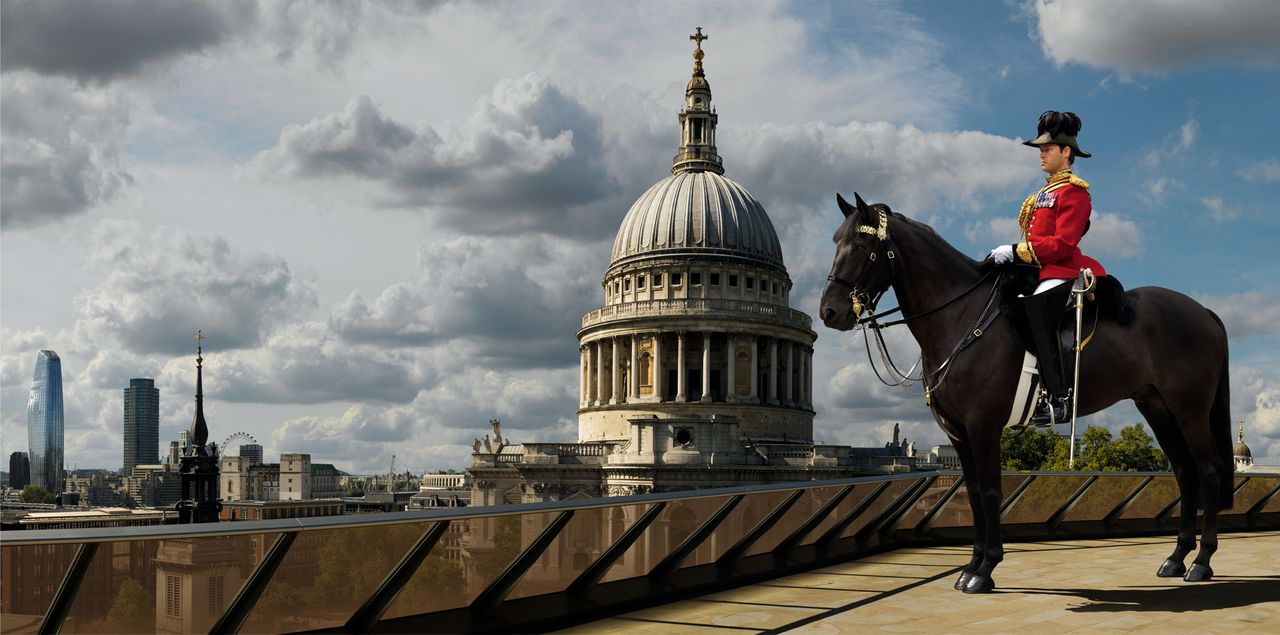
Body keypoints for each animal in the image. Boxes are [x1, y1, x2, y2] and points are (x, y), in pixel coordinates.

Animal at [819, 193, 1228, 594]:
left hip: (1190, 410)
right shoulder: (958, 431)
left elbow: (990, 492)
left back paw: (1202, 560)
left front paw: (985, 570)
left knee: (1207, 471)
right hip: (1157, 408)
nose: (829, 311)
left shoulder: (983, 424)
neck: (960, 316)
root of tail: (1203, 310)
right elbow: (973, 494)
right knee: (1185, 472)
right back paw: (1176, 557)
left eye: (861, 244)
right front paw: (971, 567)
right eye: (835, 240)